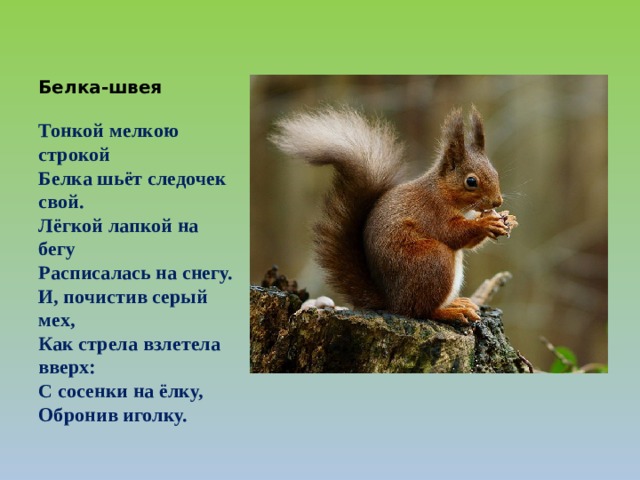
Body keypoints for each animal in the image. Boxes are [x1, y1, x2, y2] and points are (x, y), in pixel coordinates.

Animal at [270, 106, 517, 323]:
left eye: (495, 172)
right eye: (471, 181)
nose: (497, 201)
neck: (442, 192)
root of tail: (392, 301)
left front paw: (508, 219)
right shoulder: (431, 211)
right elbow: (452, 233)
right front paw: (486, 222)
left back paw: (456, 303)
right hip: (433, 260)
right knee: (419, 310)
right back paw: (449, 311)